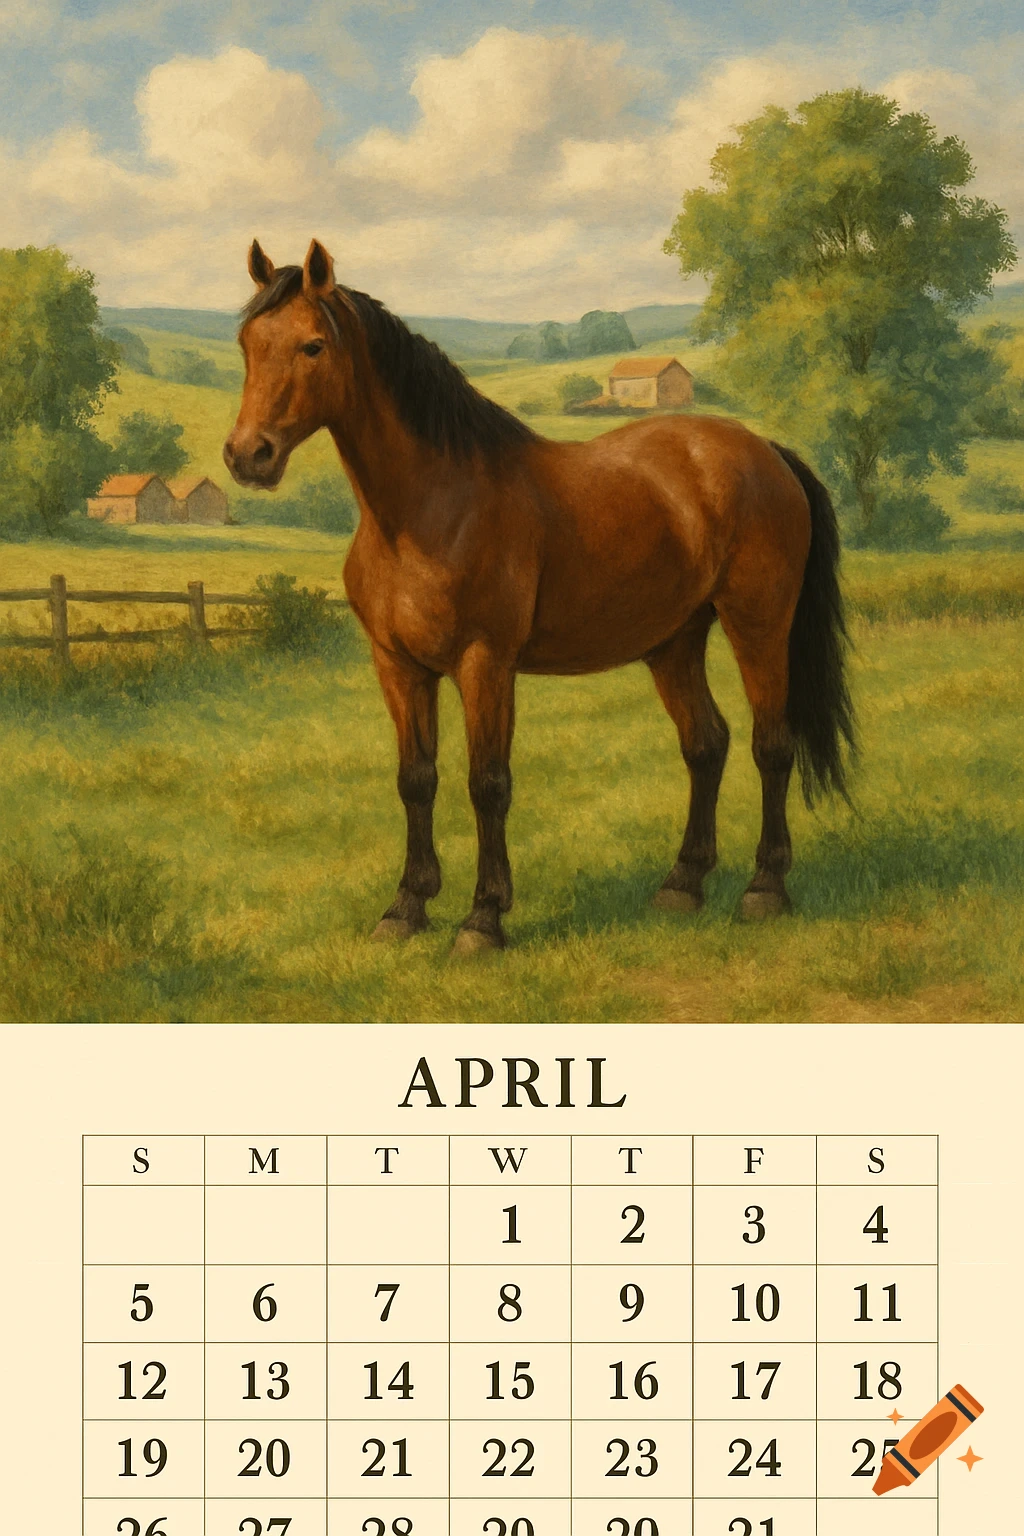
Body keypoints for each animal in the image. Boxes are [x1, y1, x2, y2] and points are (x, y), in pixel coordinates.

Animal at [224, 239, 854, 954]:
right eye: (248, 343)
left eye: (312, 346)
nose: (248, 456)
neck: (431, 507)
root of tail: (765, 451)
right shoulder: (399, 666)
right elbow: (416, 781)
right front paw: (405, 907)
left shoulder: (486, 663)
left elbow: (487, 784)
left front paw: (483, 919)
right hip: (674, 642)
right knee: (706, 744)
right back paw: (682, 885)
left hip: (758, 625)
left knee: (770, 745)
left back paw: (765, 889)